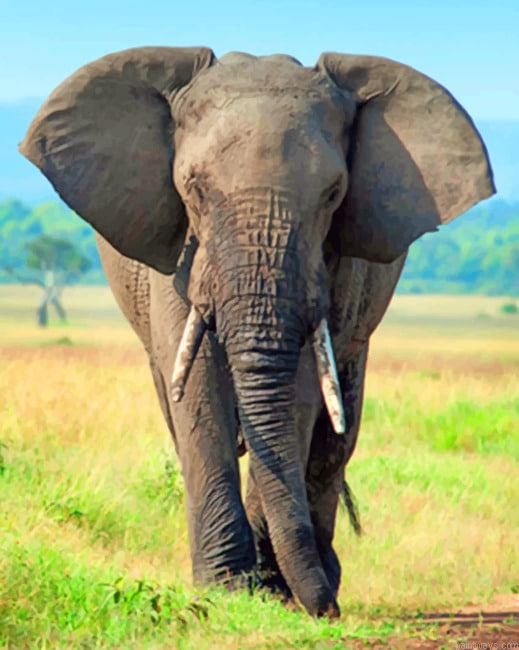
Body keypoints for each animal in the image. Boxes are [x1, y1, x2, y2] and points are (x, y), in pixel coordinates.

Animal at [19, 46, 495, 618]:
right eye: (194, 187)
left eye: (334, 194)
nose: (328, 613)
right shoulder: (179, 252)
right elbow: (197, 386)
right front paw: (225, 589)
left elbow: (301, 391)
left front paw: (273, 594)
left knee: (338, 430)